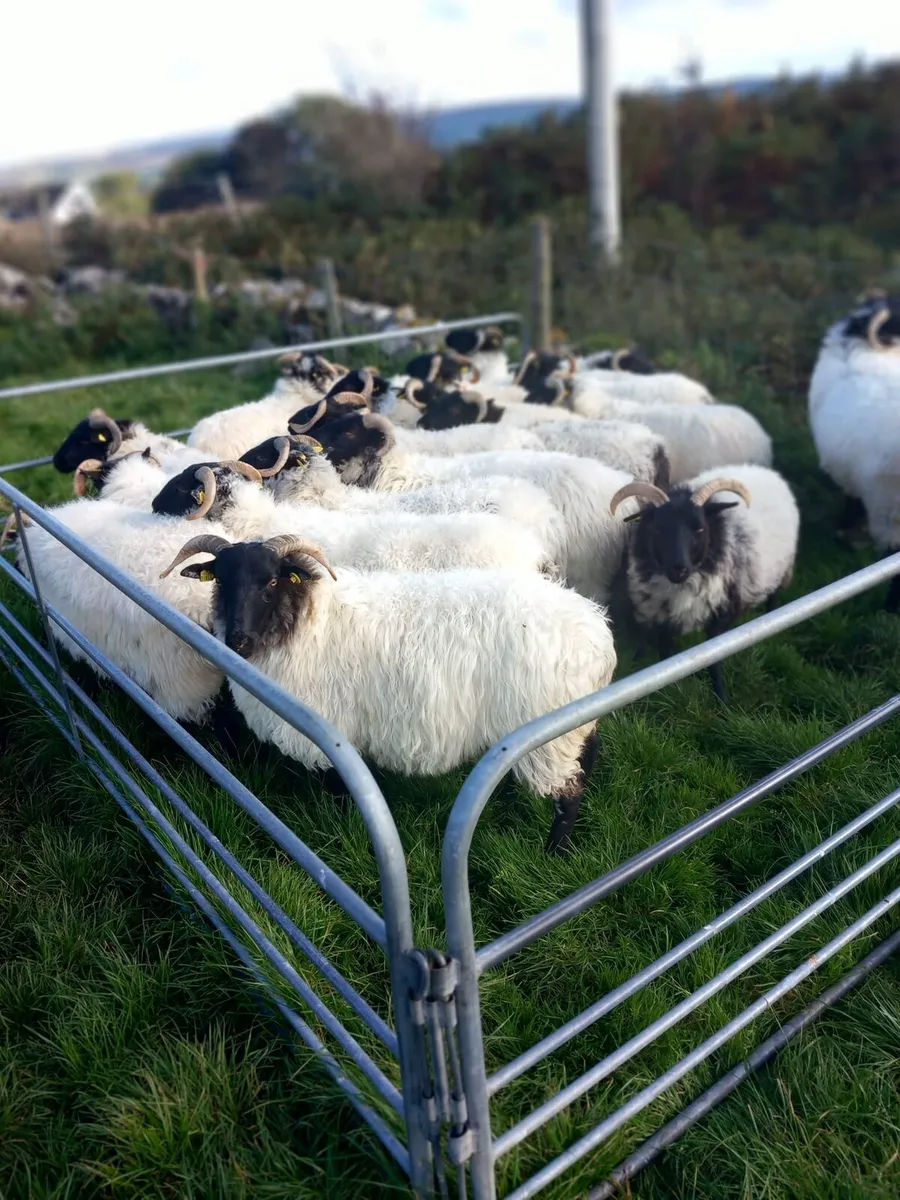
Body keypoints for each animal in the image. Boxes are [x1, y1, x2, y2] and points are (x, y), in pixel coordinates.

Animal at [160, 532, 618, 851]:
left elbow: (340, 790)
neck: (306, 620)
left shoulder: (334, 731)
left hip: (553, 737)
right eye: (221, 580)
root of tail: (599, 635)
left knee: (569, 794)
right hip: (560, 731)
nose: (237, 641)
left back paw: (555, 852)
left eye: (272, 581)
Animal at [610, 465, 799, 703]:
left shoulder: (722, 614)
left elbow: (713, 658)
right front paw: (669, 686)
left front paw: (722, 697)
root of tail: (766, 472)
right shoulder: (662, 615)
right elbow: (666, 654)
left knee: (774, 597)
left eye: (700, 529)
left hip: (781, 569)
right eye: (657, 529)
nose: (678, 568)